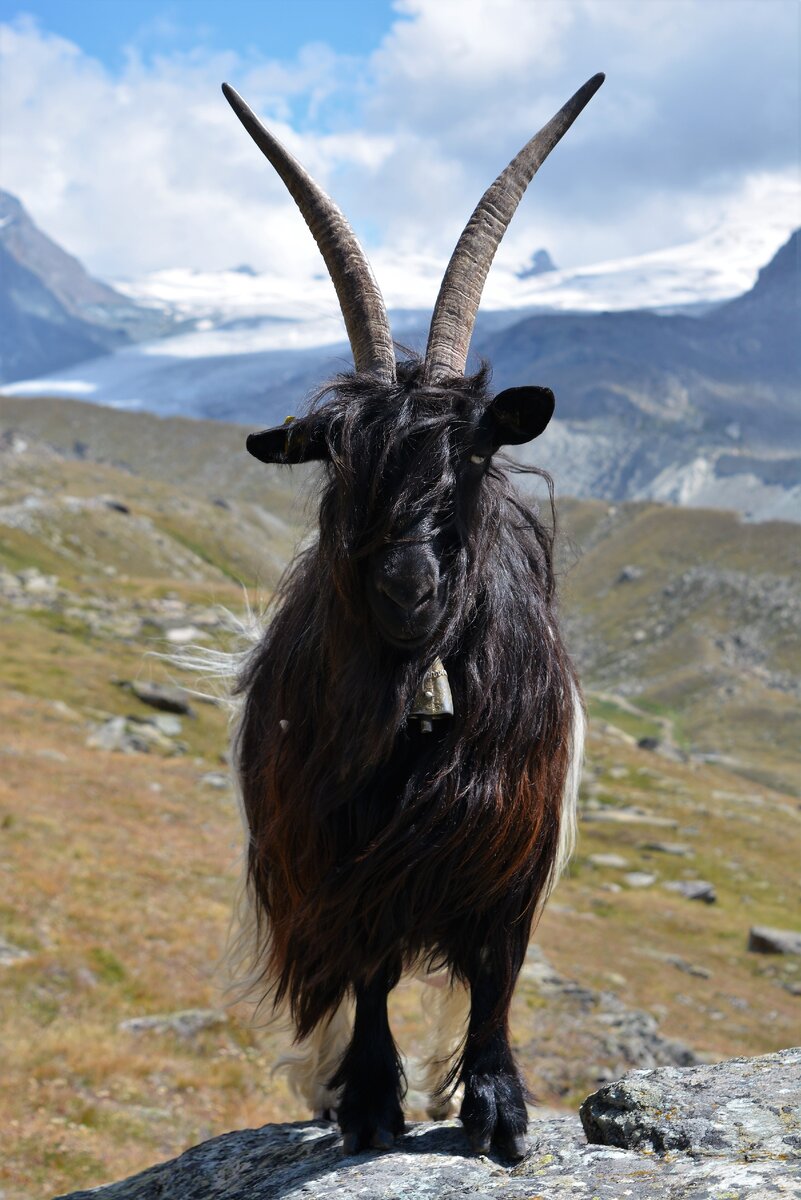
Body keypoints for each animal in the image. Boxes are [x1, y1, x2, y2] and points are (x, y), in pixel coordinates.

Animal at [221, 75, 604, 1161]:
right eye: (338, 459)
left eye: (473, 451)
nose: (407, 587)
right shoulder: (333, 847)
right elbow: (370, 971)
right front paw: (368, 1102)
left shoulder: (510, 834)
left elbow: (494, 972)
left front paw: (497, 1106)